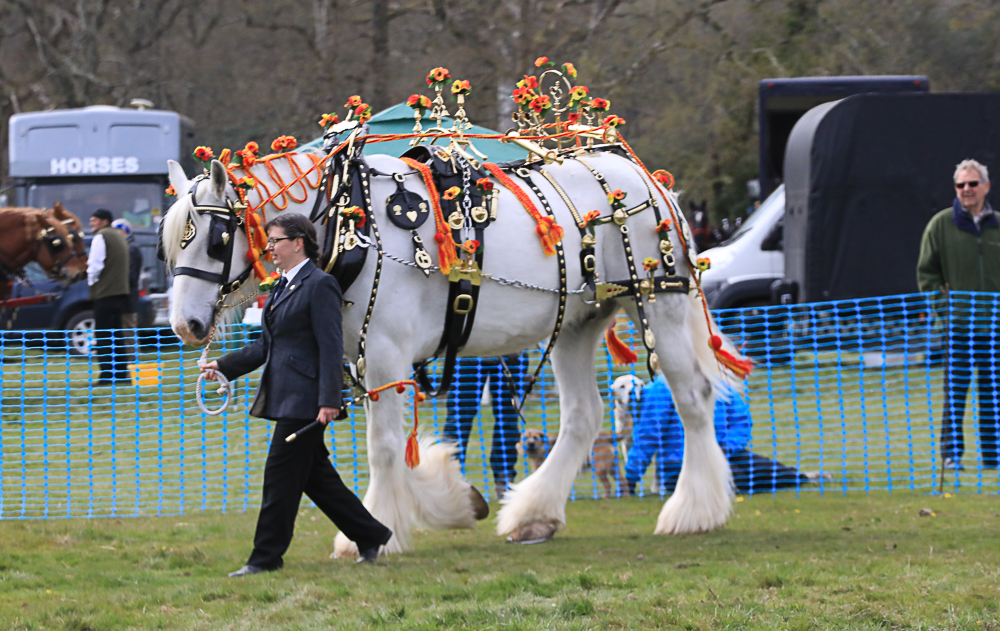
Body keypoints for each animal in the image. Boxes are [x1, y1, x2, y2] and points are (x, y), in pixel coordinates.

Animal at [161, 144, 739, 556]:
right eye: (172, 244)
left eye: (215, 238)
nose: (186, 325)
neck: (350, 224)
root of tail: (650, 182)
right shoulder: (361, 356)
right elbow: (399, 445)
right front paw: (453, 502)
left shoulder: (386, 351)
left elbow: (384, 446)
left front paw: (374, 533)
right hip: (578, 322)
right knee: (583, 415)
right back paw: (535, 514)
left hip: (657, 305)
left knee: (693, 398)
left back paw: (694, 511)